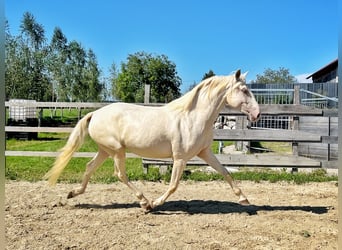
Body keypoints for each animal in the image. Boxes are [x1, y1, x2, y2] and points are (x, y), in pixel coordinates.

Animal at [44, 70, 260, 211]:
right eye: (244, 90)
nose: (257, 114)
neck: (193, 117)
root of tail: (95, 113)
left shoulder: (205, 153)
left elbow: (225, 172)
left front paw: (244, 199)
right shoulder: (180, 158)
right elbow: (173, 185)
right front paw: (156, 203)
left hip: (105, 150)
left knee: (89, 167)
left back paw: (73, 193)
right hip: (117, 150)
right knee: (120, 174)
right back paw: (144, 202)